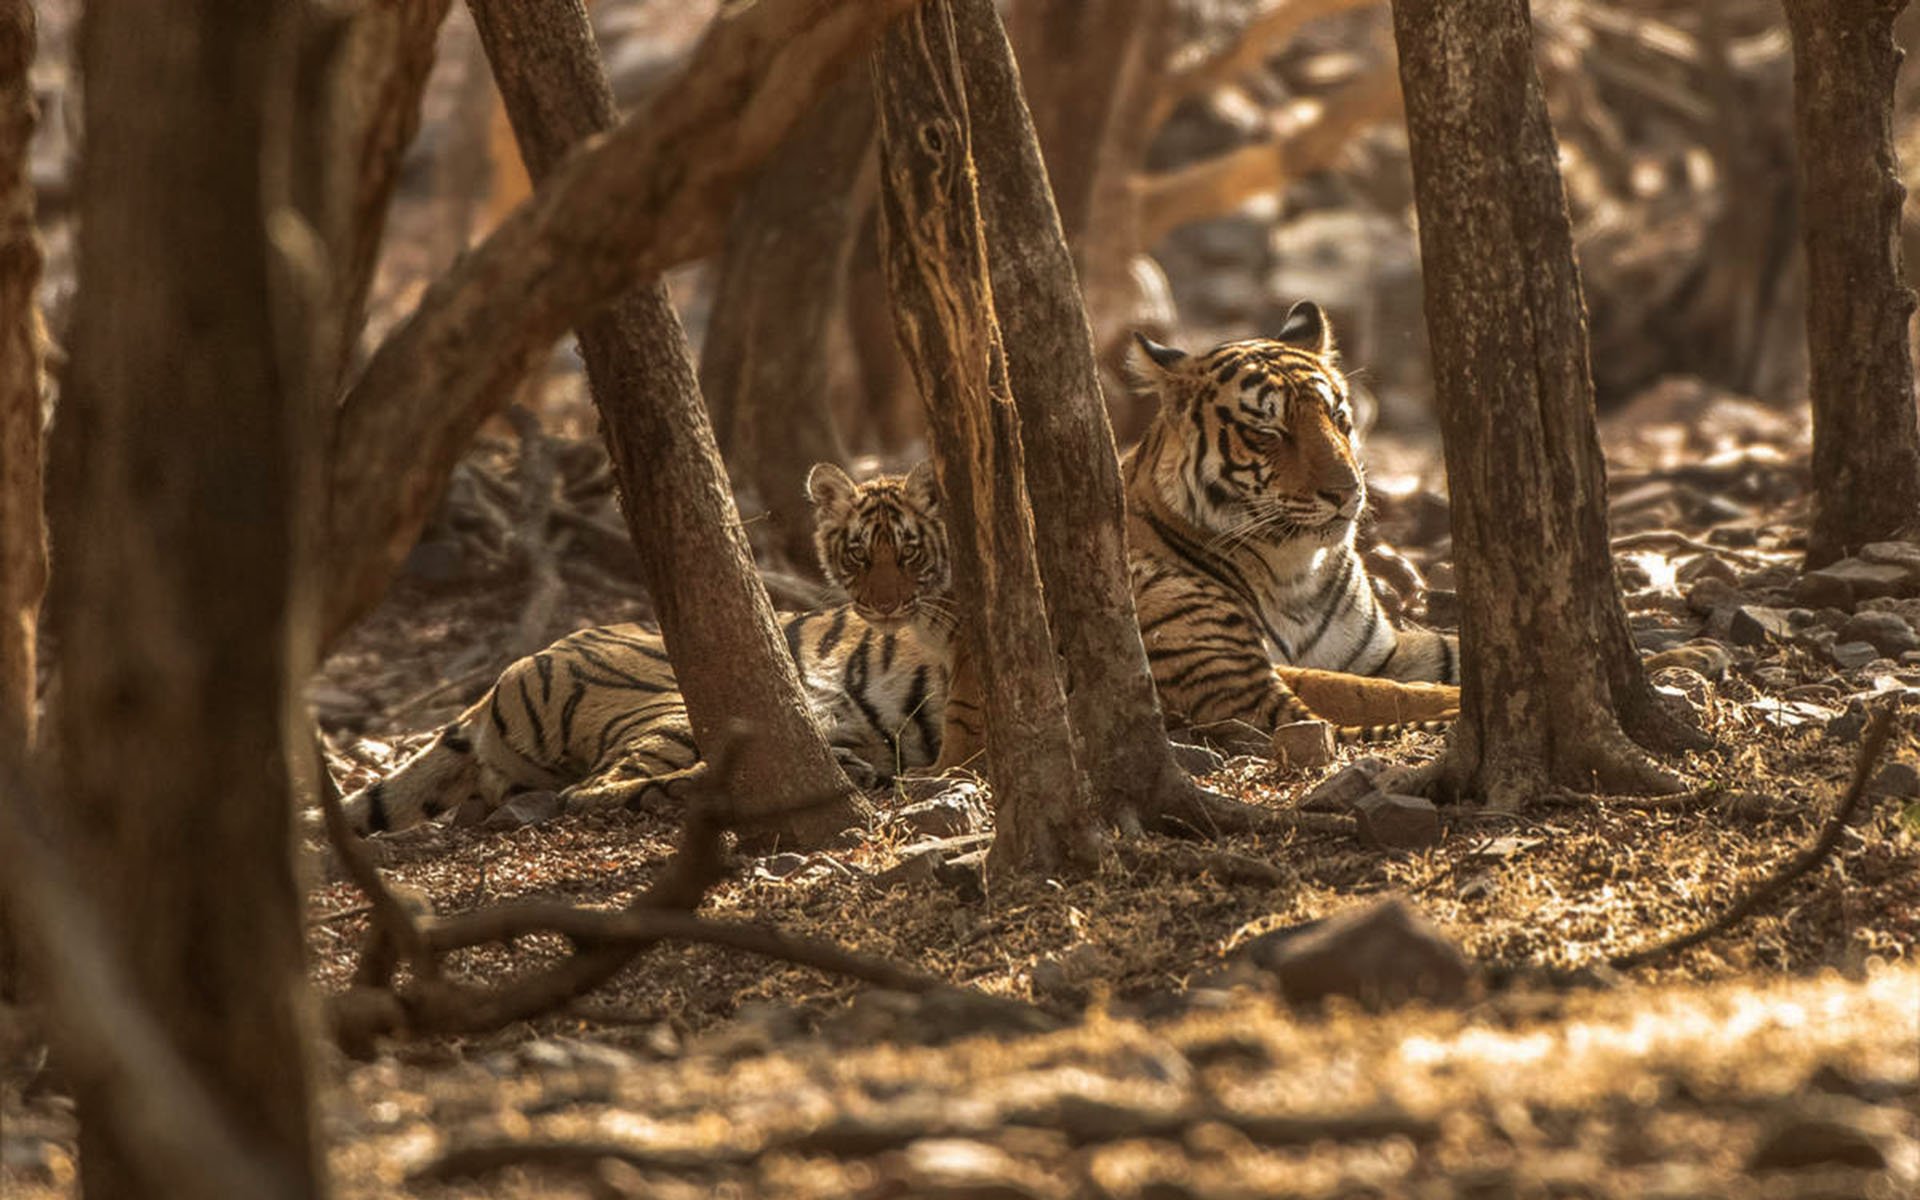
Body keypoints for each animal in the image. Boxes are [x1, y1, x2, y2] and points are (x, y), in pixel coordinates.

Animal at [332, 458, 983, 833]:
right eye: (858, 554)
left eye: (908, 553)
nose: (884, 607)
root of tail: (494, 685)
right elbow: (966, 718)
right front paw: (952, 774)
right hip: (673, 702)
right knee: (588, 792)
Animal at [1121, 299, 1451, 741]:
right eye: (1269, 432)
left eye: (1337, 417)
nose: (1347, 490)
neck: (1296, 574)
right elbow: (1373, 692)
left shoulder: (1382, 653)